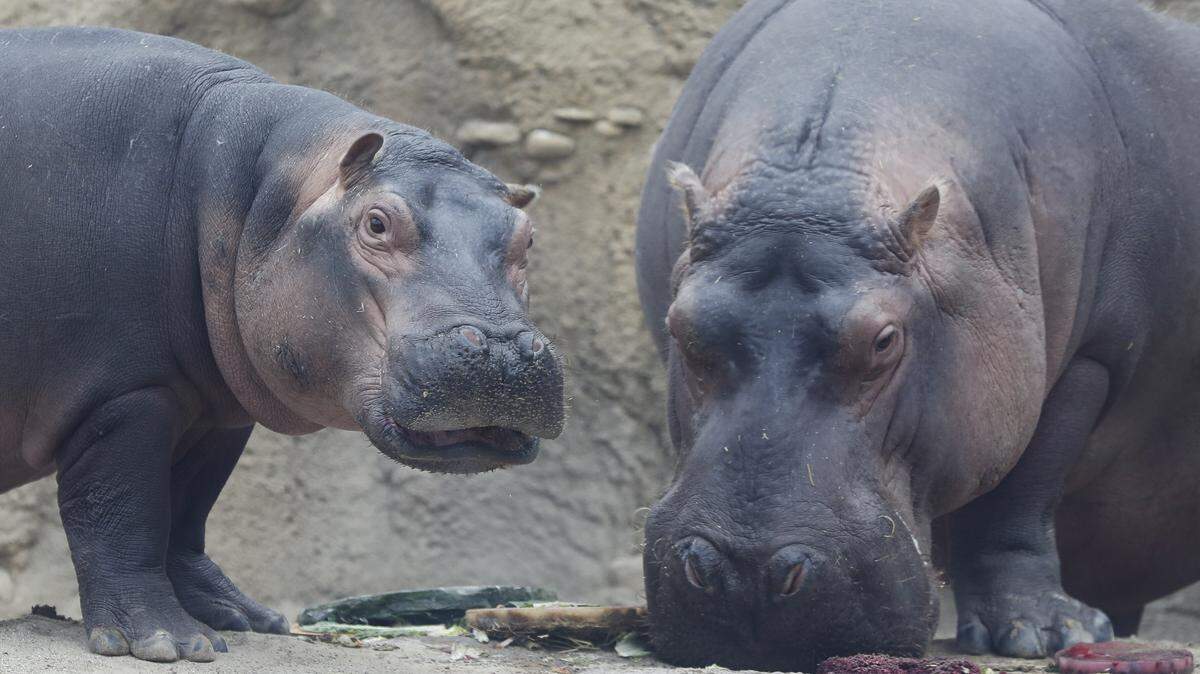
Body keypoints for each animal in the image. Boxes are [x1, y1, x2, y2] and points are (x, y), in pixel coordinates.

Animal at [0, 27, 564, 662]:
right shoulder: (126, 392)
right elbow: (123, 511)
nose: (504, 354)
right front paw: (169, 641)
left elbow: (186, 511)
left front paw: (246, 618)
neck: (251, 192)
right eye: (376, 223)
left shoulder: (215, 406)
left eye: (527, 237)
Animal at [635, 0, 1200, 670]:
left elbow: (1022, 491)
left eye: (884, 340)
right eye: (682, 326)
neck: (810, 182)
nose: (745, 573)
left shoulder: (1090, 362)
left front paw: (1042, 635)